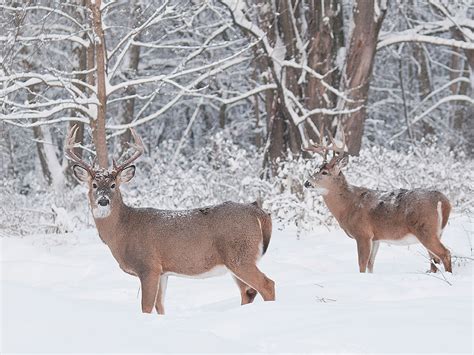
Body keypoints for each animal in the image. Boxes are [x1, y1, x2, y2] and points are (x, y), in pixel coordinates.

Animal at [65, 126, 276, 316]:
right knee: (248, 292)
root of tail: (258, 211)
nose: (103, 201)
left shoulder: (148, 266)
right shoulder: (163, 272)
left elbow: (146, 307)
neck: (123, 230)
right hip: (236, 260)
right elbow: (160, 307)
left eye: (113, 185)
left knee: (267, 284)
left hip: (240, 256)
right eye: (94, 185)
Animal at [302, 126, 454, 274]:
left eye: (324, 172)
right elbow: (370, 264)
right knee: (434, 259)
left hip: (425, 229)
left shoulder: (363, 233)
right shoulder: (376, 238)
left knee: (445, 253)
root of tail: (444, 202)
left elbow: (362, 264)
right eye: (315, 169)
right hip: (436, 232)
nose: (306, 183)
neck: (348, 206)